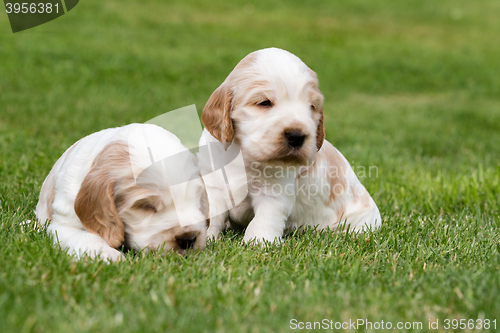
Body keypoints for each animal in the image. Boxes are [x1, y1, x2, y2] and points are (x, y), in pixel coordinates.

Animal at [35, 123, 207, 260]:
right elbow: (87, 238)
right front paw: (109, 255)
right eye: (146, 206)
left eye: (196, 199)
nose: (188, 239)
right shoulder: (62, 225)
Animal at [199, 47, 382, 241]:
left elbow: (262, 222)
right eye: (264, 102)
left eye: (311, 107)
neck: (243, 154)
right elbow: (212, 216)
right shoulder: (214, 187)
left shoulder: (273, 194)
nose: (297, 136)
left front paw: (258, 243)